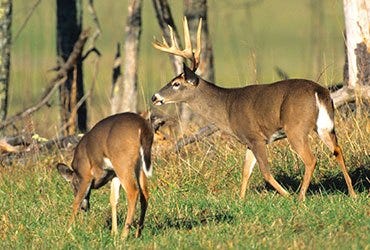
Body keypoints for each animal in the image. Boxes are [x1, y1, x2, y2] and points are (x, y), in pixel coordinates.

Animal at [150, 17, 356, 201]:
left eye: (176, 84)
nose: (155, 97)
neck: (227, 107)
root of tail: (319, 91)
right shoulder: (248, 141)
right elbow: (246, 171)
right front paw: (240, 200)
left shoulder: (256, 137)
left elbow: (264, 171)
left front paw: (286, 195)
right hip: (325, 126)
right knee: (338, 150)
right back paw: (352, 193)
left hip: (295, 127)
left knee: (311, 159)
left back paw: (300, 197)